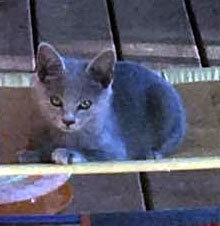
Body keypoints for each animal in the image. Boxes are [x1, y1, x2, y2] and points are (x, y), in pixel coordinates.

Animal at [17, 41, 186, 163]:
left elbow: (96, 154)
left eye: (85, 104)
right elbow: (45, 147)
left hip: (165, 105)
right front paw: (32, 154)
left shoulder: (116, 150)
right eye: (55, 101)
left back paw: (152, 153)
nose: (68, 121)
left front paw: (68, 153)